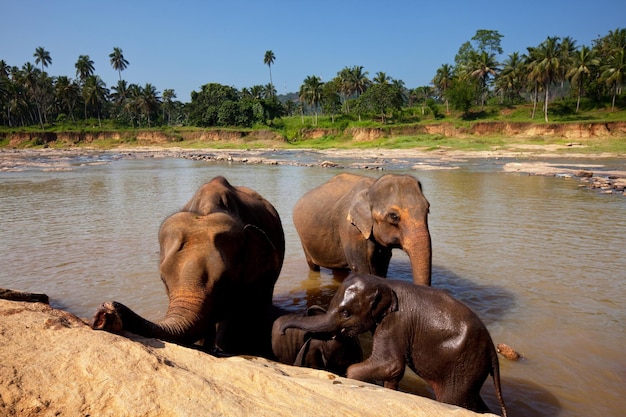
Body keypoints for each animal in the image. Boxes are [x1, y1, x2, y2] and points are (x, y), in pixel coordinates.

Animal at [278, 272, 508, 416]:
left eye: (346, 313)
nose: (281, 331)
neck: (383, 282)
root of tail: (492, 350)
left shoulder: (395, 323)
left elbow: (391, 364)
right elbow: (392, 372)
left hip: (462, 366)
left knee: (454, 400)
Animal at [292, 173, 428, 286]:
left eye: (428, 210)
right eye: (394, 216)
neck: (370, 189)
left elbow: (381, 266)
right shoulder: (350, 229)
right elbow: (361, 269)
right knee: (313, 265)